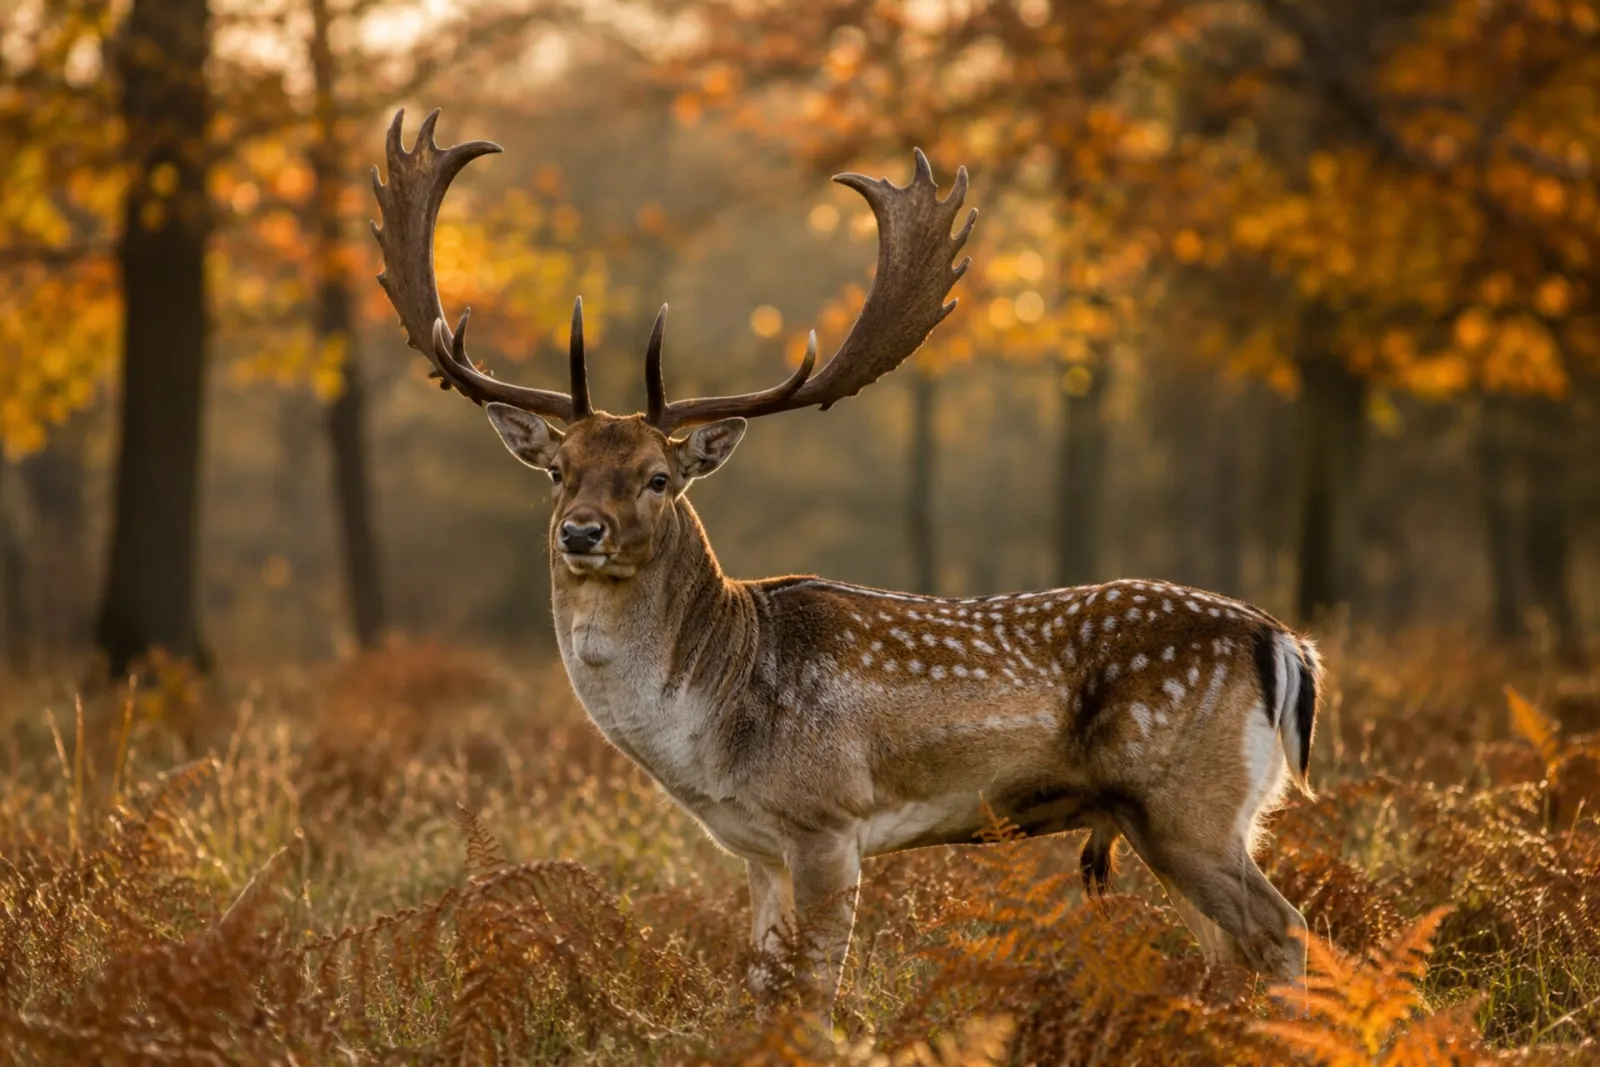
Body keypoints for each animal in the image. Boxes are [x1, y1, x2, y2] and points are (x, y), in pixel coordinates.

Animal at [371, 109, 1323, 1016]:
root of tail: (1286, 644)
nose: (581, 531)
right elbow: (758, 992)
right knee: (1229, 951)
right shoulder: (754, 847)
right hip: (1178, 819)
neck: (706, 726)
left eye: (658, 477)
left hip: (1188, 805)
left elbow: (814, 998)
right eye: (558, 469)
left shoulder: (828, 819)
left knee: (1284, 931)